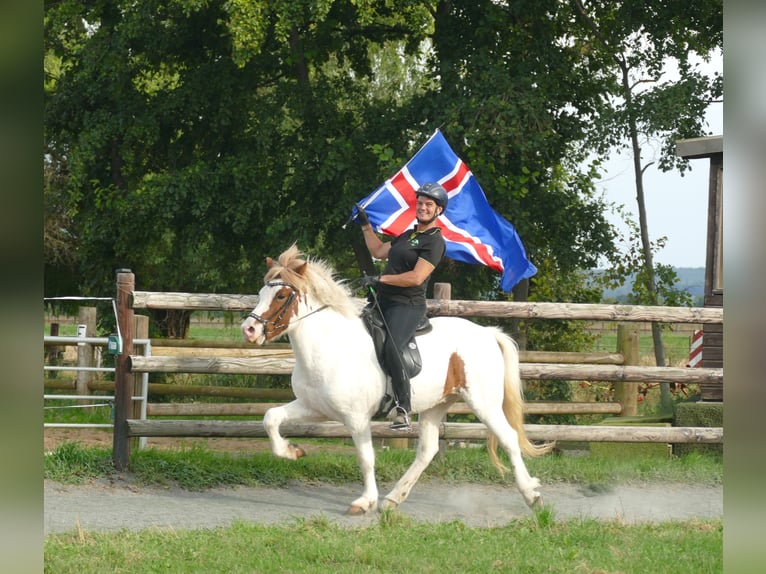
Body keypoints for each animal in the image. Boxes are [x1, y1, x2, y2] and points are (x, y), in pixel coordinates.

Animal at [240, 244, 552, 516]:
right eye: (261, 292)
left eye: (281, 296)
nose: (249, 330)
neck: (328, 346)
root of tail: (488, 333)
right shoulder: (313, 407)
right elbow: (271, 418)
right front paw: (292, 451)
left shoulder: (356, 418)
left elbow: (366, 458)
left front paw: (365, 502)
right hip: (436, 404)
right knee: (427, 450)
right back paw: (393, 499)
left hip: (483, 402)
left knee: (509, 438)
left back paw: (532, 496)